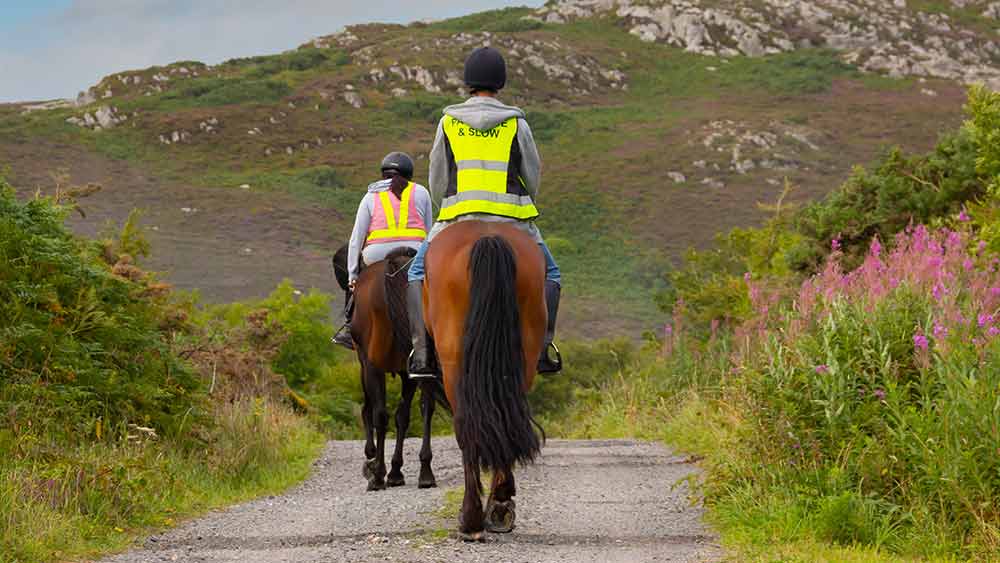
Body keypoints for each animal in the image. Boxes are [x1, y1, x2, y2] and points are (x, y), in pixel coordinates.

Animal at [332, 245, 446, 492]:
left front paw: (373, 461)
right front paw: (395, 471)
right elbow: (403, 416)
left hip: (373, 365)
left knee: (380, 414)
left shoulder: (367, 365)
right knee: (424, 409)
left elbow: (371, 411)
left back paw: (378, 475)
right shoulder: (407, 372)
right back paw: (424, 472)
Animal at [422, 220, 548, 540]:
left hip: (453, 361)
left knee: (466, 426)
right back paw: (497, 507)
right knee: (502, 415)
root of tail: (488, 237)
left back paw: (473, 518)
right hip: (523, 357)